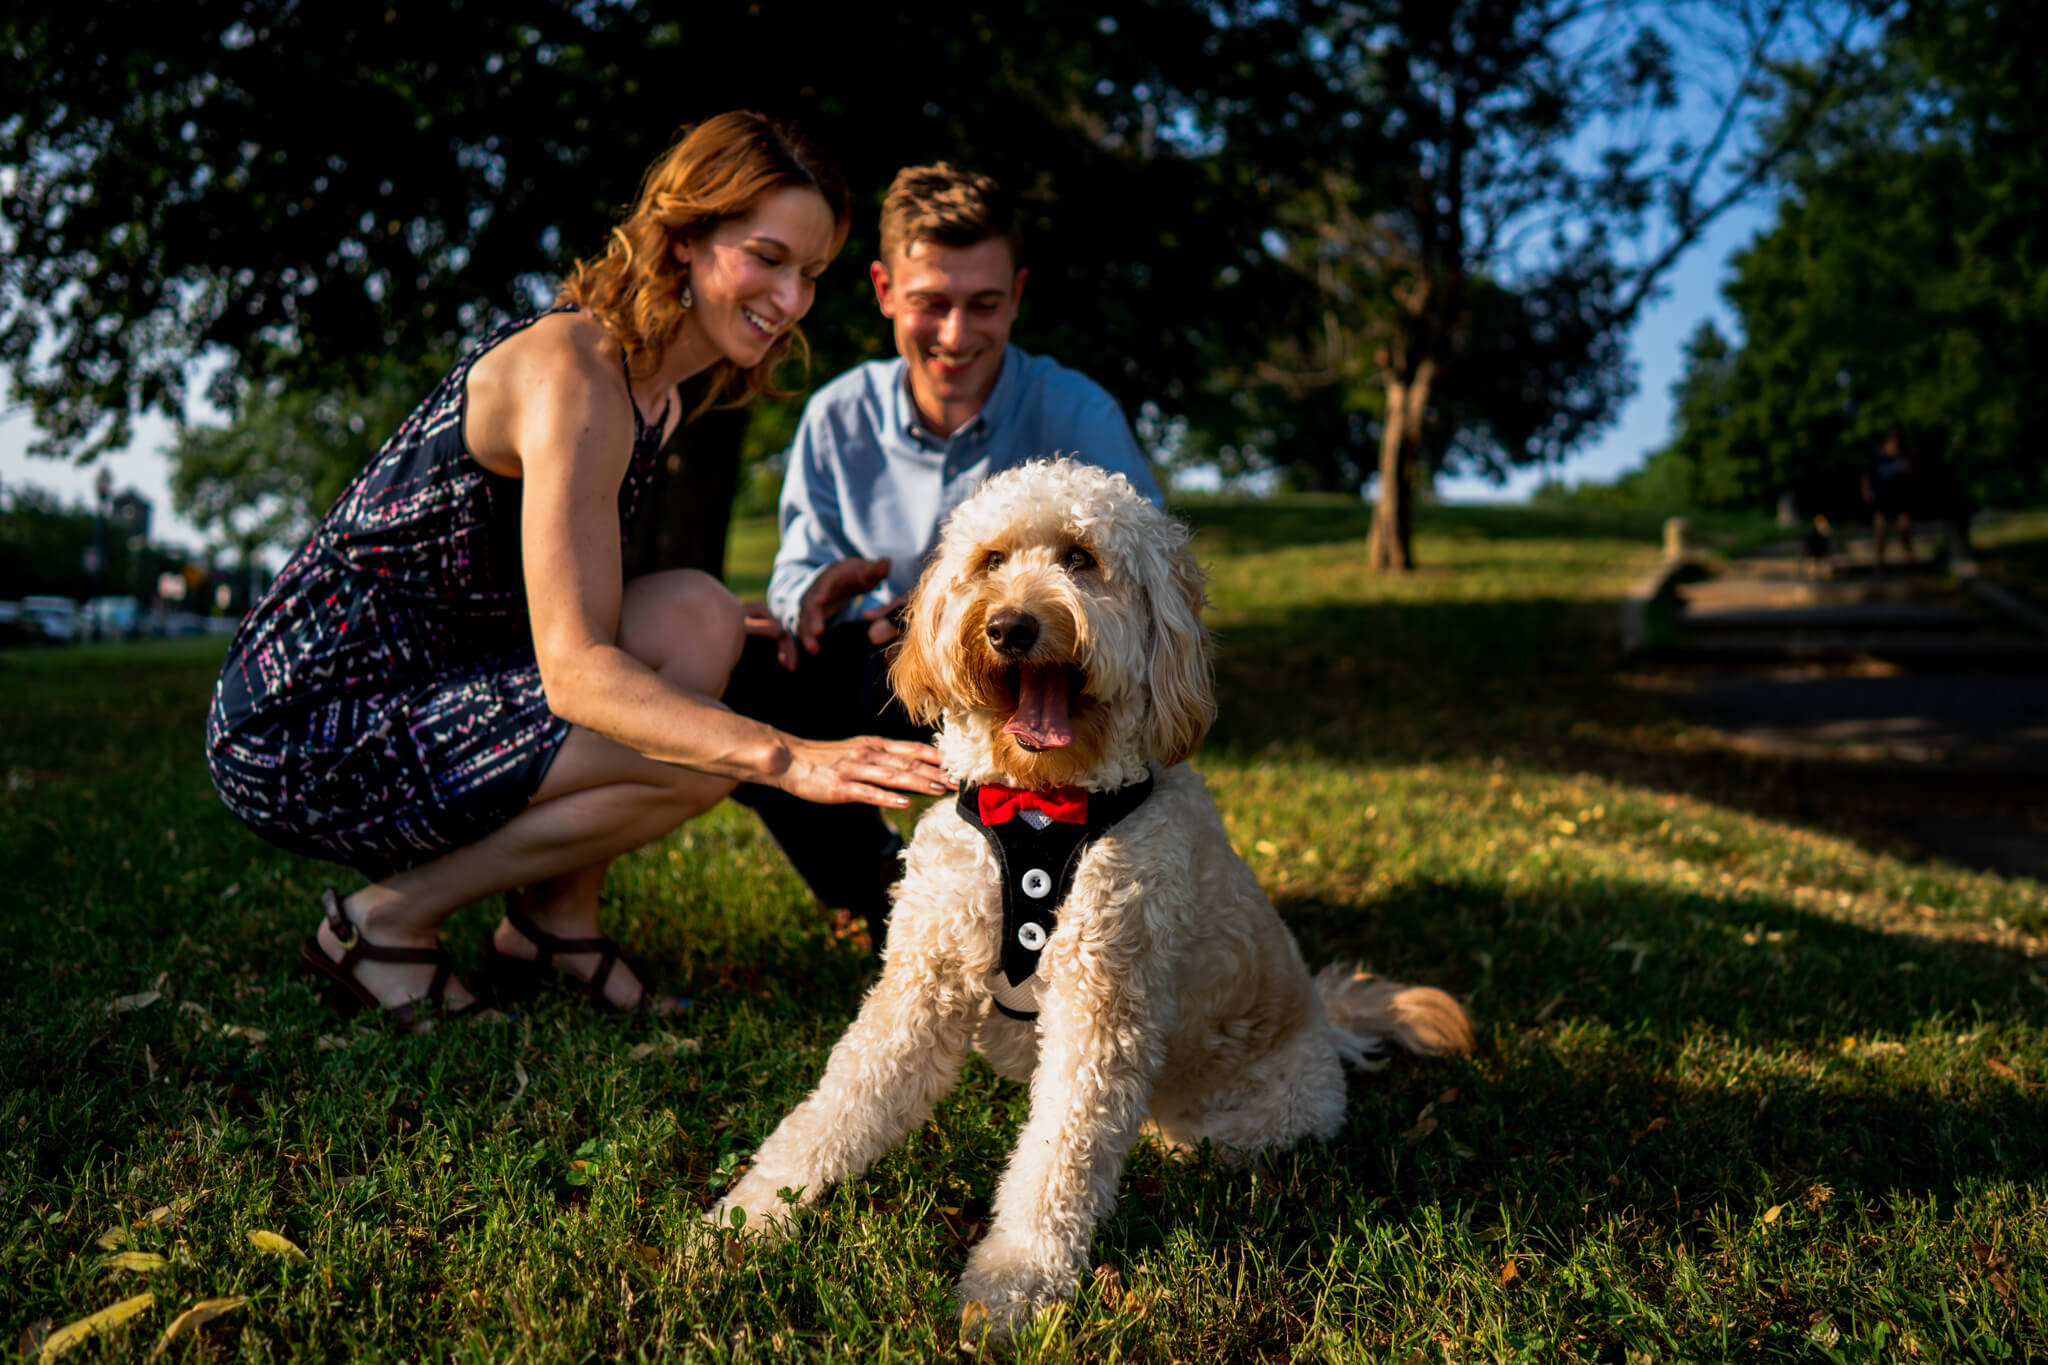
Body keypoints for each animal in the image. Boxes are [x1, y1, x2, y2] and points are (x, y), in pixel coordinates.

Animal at [720, 456, 1474, 1334]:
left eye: (1082, 559)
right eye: (992, 560)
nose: (1010, 627)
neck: (1043, 804)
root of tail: (1328, 1024)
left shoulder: (1101, 1009)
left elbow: (1059, 1159)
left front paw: (1011, 1284)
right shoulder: (919, 985)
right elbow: (838, 1103)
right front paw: (746, 1217)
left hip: (1245, 1125)